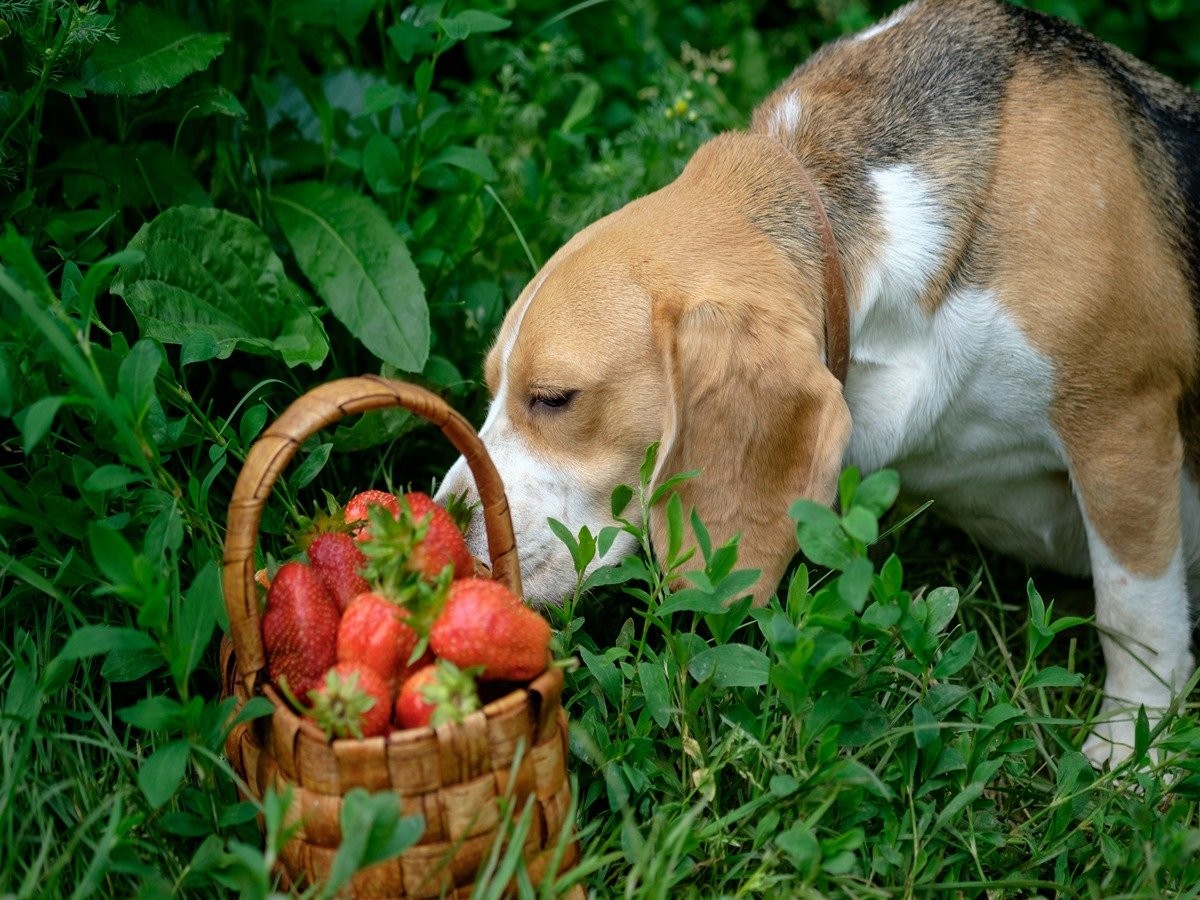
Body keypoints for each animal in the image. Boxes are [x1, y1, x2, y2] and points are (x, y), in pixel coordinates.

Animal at [436, 0, 1195, 772]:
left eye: (555, 398)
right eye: (493, 387)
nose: (447, 522)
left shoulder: (1121, 422)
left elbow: (1133, 608)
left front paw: (1132, 752)